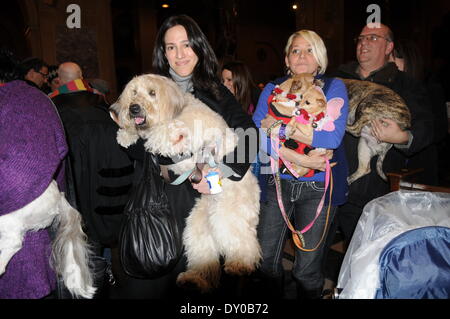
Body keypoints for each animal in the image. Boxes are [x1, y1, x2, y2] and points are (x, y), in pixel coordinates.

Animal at [110, 74, 262, 294]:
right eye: (134, 92)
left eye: (152, 92)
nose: (134, 108)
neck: (177, 108)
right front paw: (126, 133)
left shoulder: (186, 130)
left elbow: (164, 131)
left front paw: (152, 136)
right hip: (197, 227)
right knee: (204, 256)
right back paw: (195, 278)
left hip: (228, 216)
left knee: (244, 242)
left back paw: (240, 264)